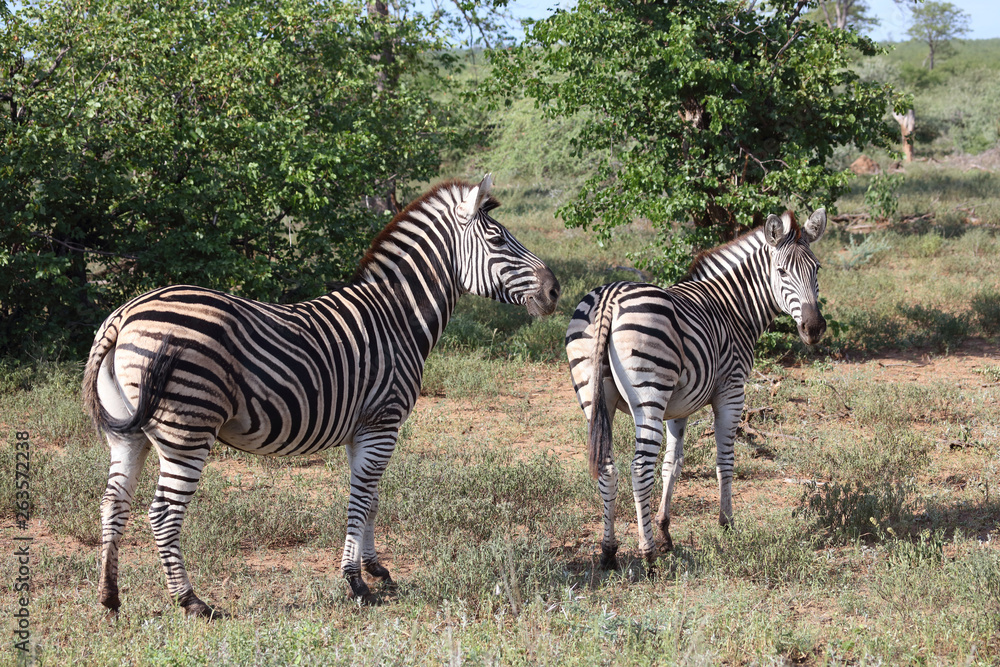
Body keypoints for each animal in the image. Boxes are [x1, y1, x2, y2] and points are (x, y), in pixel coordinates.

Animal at [82, 175, 560, 617]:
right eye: (497, 239)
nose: (555, 289)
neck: (397, 319)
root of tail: (124, 315)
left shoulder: (363, 429)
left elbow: (372, 498)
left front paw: (376, 569)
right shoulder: (383, 423)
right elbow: (361, 498)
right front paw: (356, 583)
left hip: (130, 435)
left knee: (113, 503)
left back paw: (110, 596)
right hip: (188, 431)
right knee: (163, 513)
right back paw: (191, 601)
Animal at [565, 209, 826, 570]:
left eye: (816, 269)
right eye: (782, 271)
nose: (814, 329)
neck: (734, 307)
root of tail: (609, 299)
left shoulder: (679, 406)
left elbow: (672, 464)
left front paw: (665, 531)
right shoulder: (732, 391)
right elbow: (725, 460)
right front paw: (726, 524)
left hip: (593, 395)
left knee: (607, 467)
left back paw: (609, 551)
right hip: (649, 393)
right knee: (639, 468)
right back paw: (647, 555)